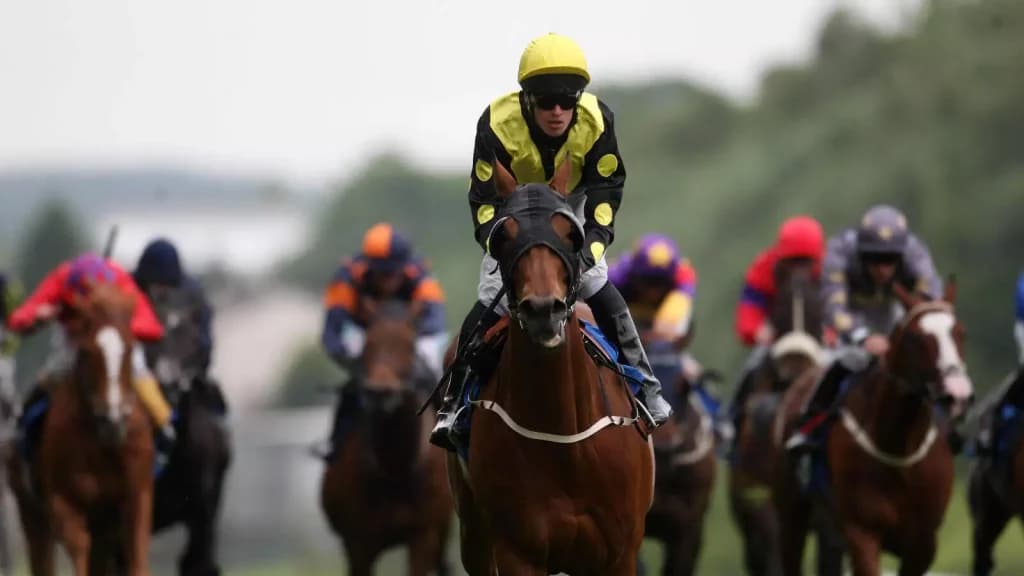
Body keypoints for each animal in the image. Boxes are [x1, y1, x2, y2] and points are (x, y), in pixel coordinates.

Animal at [7, 282, 156, 576]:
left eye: (130, 348)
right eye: (87, 351)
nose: (113, 420)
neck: (103, 445)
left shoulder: (137, 497)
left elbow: (136, 555)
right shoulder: (63, 503)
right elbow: (78, 549)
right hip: (29, 509)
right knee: (42, 558)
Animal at [320, 298, 453, 576]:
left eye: (409, 344)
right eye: (368, 343)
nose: (381, 391)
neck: (395, 469)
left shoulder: (422, 535)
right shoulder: (358, 543)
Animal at [445, 161, 654, 575]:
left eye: (570, 233)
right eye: (502, 236)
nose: (544, 309)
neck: (566, 441)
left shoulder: (620, 553)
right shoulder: (517, 551)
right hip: (473, 531)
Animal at [775, 280, 972, 576]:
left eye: (961, 332)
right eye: (916, 337)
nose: (957, 392)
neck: (898, 448)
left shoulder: (924, 541)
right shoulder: (862, 532)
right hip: (792, 514)